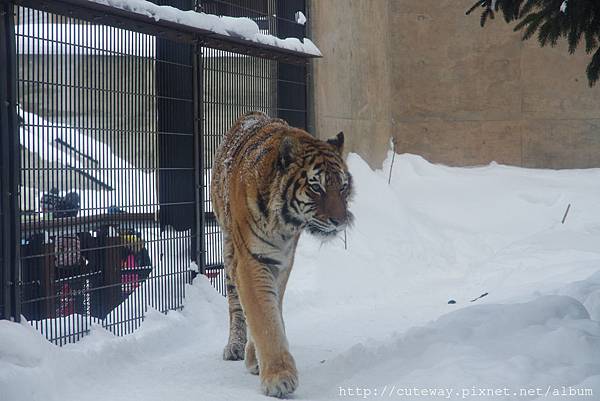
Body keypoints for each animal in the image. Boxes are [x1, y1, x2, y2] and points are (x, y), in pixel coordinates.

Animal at [210, 110, 352, 396]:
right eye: (316, 187)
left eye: (342, 187)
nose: (340, 221)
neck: (284, 223)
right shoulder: (251, 260)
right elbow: (264, 318)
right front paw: (279, 377)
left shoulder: (282, 261)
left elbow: (272, 307)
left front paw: (258, 360)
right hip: (229, 250)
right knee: (236, 304)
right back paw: (234, 346)